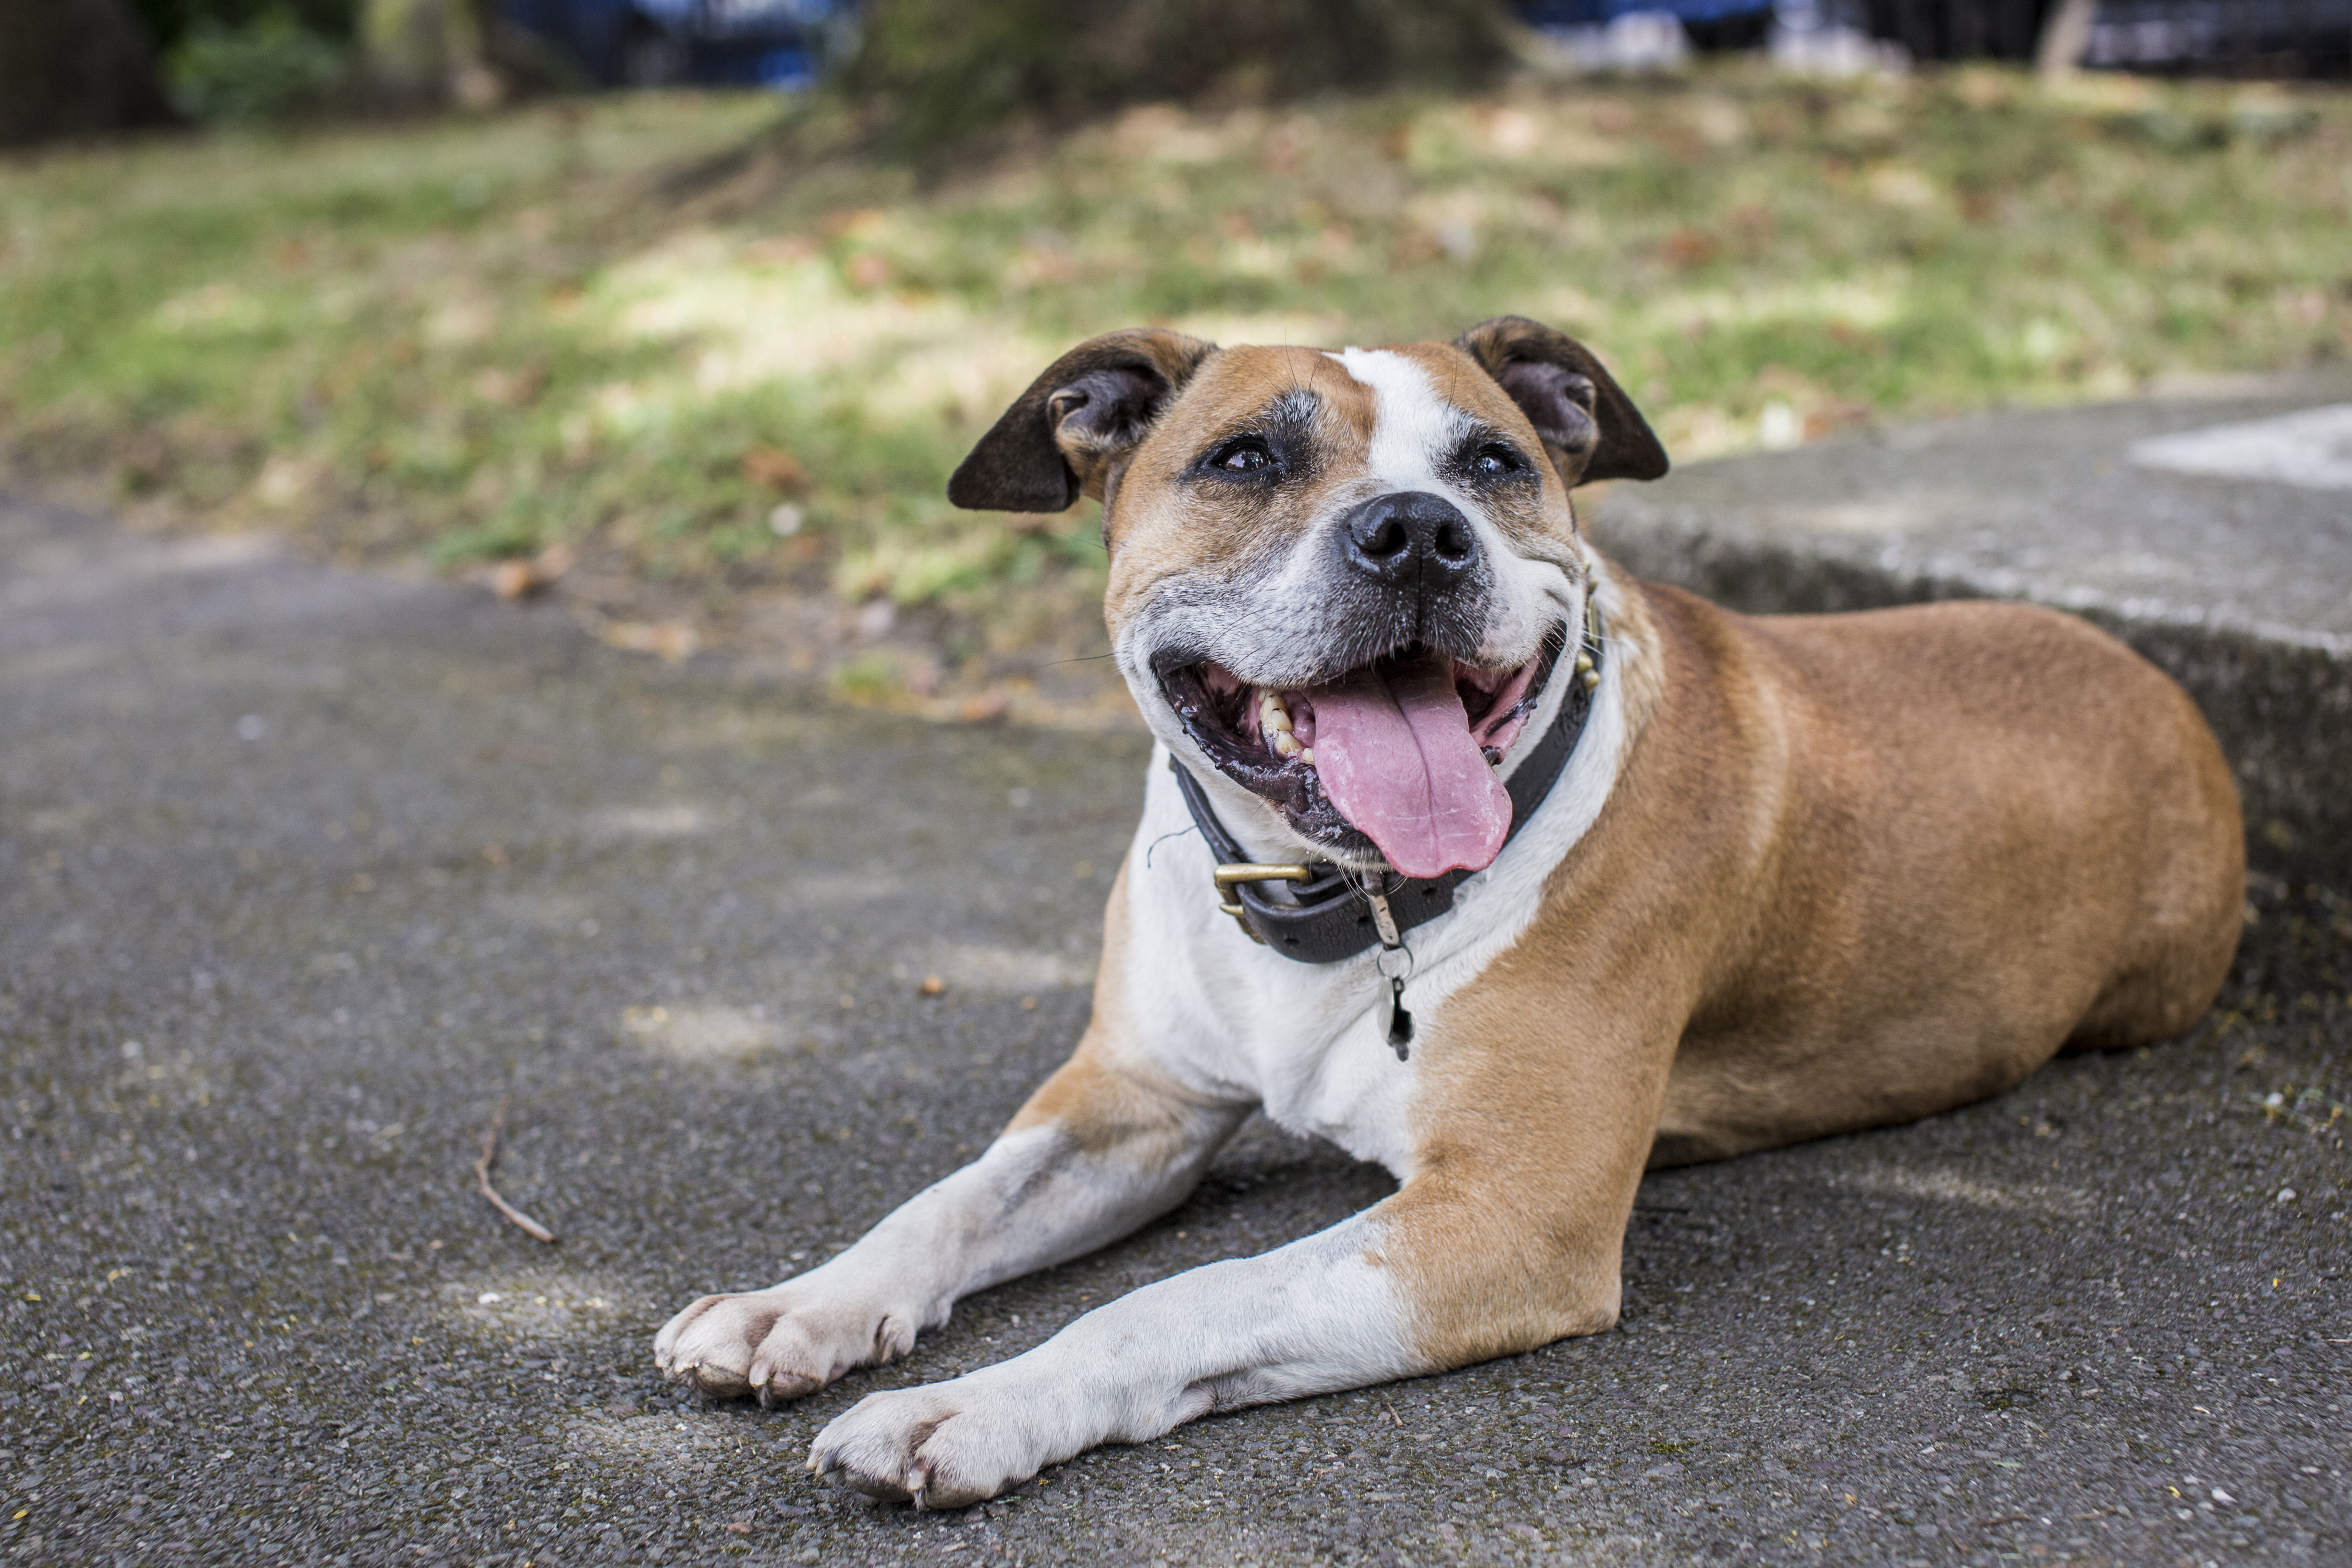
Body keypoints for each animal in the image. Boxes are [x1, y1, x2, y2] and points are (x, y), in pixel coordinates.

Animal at [649, 319, 2239, 1504]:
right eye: (1245, 457)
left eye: (1495, 463)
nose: (1417, 529)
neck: (1337, 893)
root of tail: (2159, 681)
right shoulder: (1130, 1103)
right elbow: (952, 1199)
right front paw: (804, 1301)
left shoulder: (1502, 1219)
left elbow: (1178, 1297)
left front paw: (972, 1407)